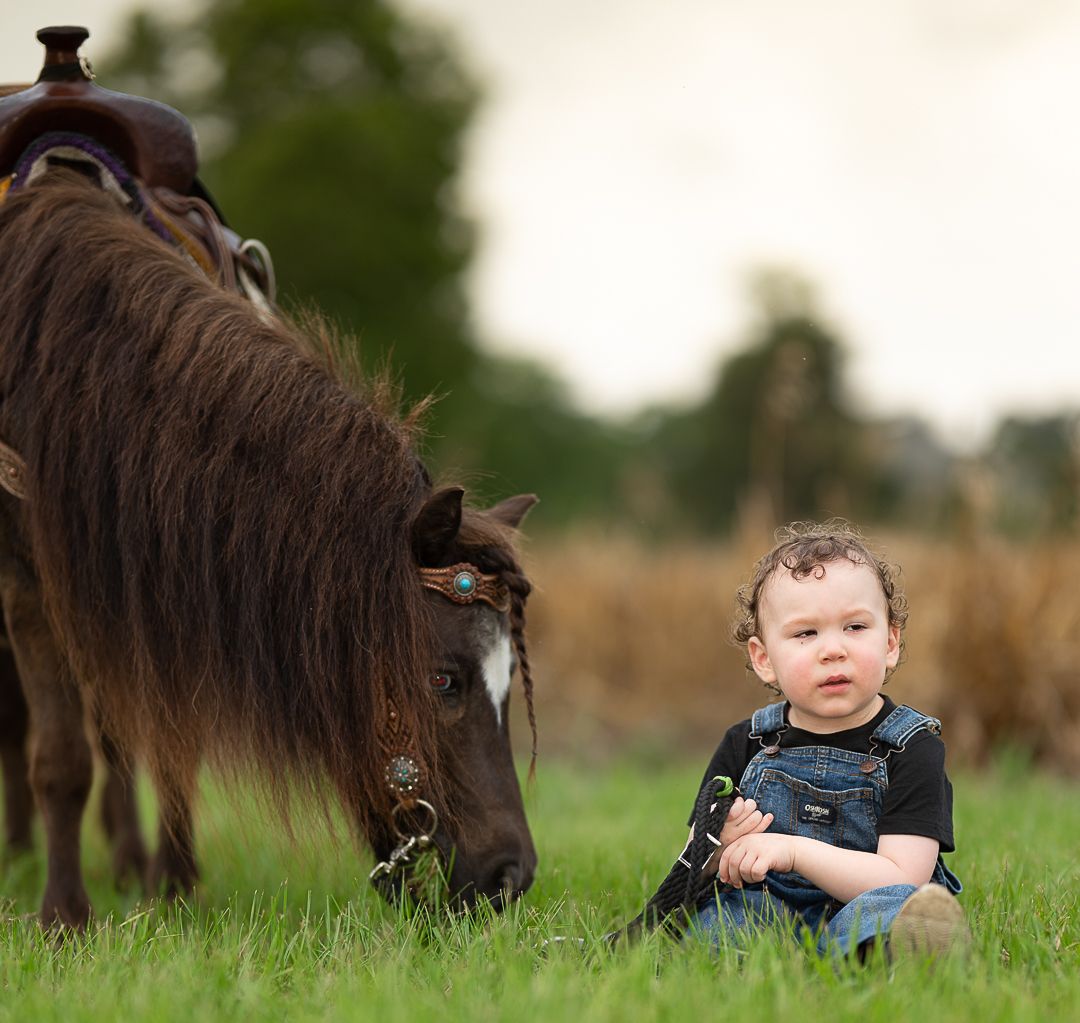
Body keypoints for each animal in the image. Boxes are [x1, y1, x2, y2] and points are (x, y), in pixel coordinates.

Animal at [0, 165, 540, 929]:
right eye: (443, 679)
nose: (511, 874)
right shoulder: (30, 585)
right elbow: (62, 758)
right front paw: (65, 918)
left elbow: (168, 749)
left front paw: (173, 885)